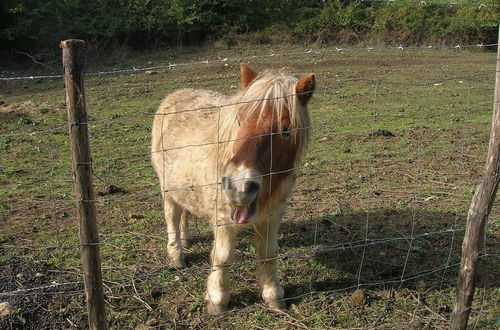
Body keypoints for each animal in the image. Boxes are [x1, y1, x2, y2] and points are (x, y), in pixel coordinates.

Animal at [150, 63, 314, 314]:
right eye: (239, 119)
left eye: (286, 130)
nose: (238, 187)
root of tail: (176, 94)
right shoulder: (223, 219)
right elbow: (223, 257)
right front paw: (217, 299)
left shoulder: (272, 216)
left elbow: (268, 254)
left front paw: (273, 295)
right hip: (167, 189)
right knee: (172, 218)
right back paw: (177, 255)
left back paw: (186, 240)